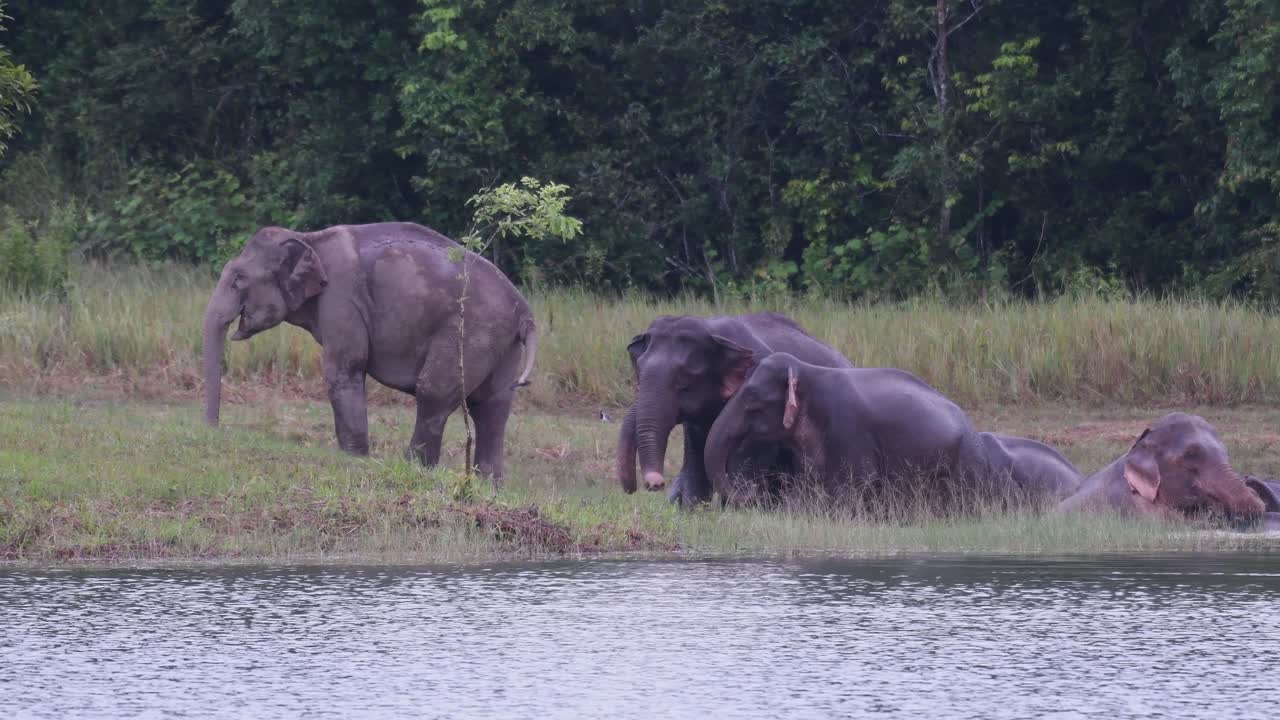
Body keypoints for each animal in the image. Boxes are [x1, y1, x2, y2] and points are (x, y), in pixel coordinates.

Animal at [202, 222, 537, 482]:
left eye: (239, 280)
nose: (215, 429)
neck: (310, 238)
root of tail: (524, 310)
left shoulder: (341, 299)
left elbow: (344, 369)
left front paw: (354, 459)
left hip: (469, 331)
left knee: (435, 393)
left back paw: (414, 468)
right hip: (501, 342)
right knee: (492, 407)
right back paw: (487, 484)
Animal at [616, 312, 853, 506]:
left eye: (684, 378)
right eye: (639, 368)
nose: (655, 484)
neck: (713, 331)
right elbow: (696, 454)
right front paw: (691, 508)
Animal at [703, 353, 993, 510]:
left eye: (752, 399)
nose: (754, 490)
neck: (806, 370)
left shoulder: (848, 430)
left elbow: (852, 487)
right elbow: (809, 485)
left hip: (967, 462)